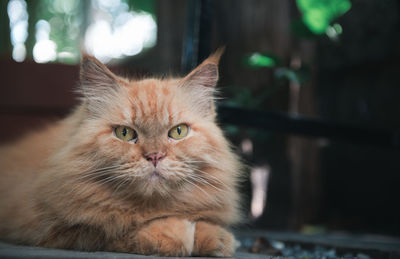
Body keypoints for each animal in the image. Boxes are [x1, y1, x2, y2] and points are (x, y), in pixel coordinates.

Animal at [0, 49, 244, 258]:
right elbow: (123, 231)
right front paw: (176, 232)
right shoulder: (60, 230)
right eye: (125, 133)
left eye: (178, 131)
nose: (154, 156)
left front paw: (217, 238)